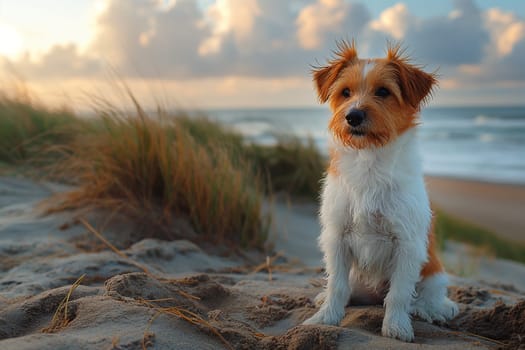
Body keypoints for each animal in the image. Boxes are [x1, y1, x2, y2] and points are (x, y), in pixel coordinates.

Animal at [302, 39, 458, 340]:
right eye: (345, 92)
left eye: (383, 92)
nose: (353, 116)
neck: (370, 161)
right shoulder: (337, 237)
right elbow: (337, 286)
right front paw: (326, 318)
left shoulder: (407, 244)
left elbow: (399, 294)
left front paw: (396, 326)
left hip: (433, 274)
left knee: (426, 296)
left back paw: (430, 310)